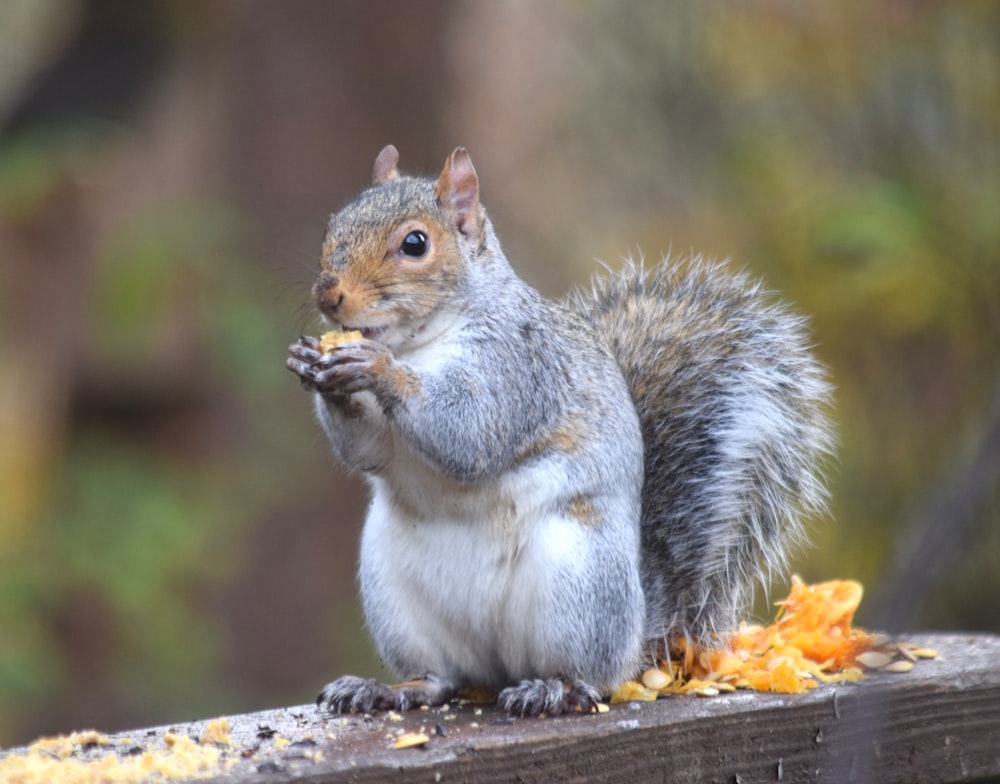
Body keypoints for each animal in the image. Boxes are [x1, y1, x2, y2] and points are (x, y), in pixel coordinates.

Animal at [286, 142, 832, 716]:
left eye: (415, 243)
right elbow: (367, 451)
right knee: (440, 677)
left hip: (577, 586)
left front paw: (375, 367)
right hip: (394, 593)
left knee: (590, 676)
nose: (328, 297)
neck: (418, 343)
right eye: (332, 225)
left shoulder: (521, 368)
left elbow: (469, 433)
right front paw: (317, 368)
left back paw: (552, 688)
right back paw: (388, 689)